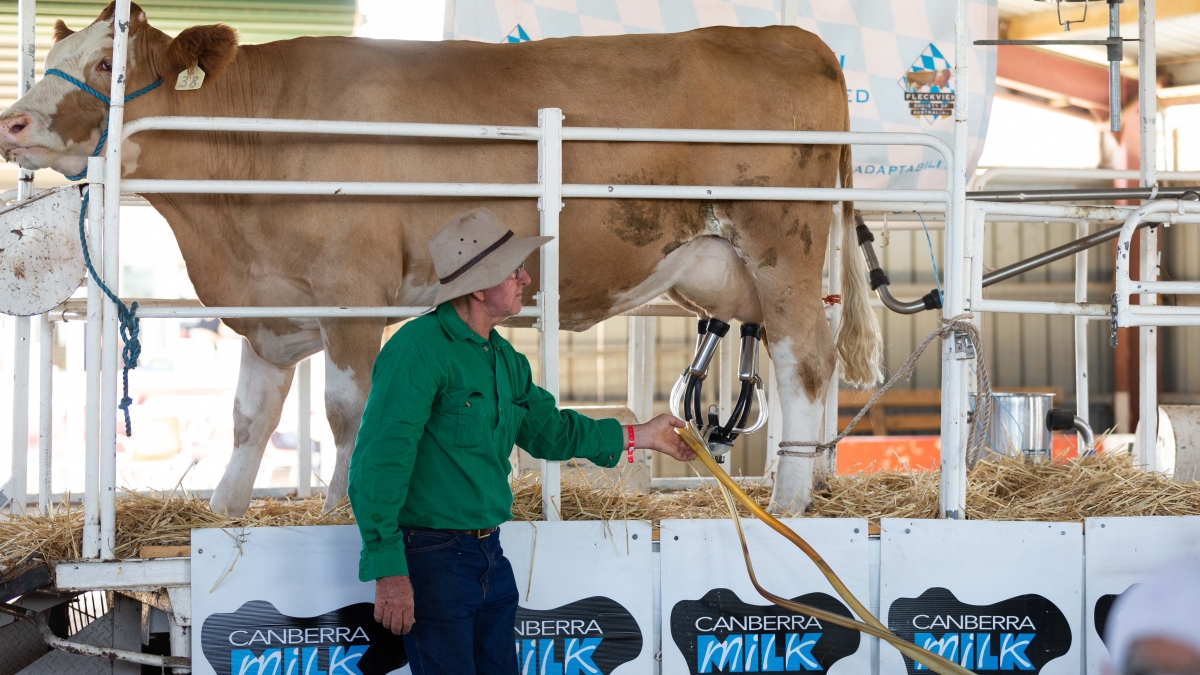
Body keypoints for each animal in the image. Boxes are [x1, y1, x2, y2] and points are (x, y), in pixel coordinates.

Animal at [0, 2, 883, 514]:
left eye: (109, 64)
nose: (14, 122)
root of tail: (792, 37)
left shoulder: (352, 296)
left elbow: (345, 414)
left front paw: (339, 510)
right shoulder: (272, 307)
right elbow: (250, 419)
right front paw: (223, 512)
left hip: (782, 243)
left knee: (807, 360)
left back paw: (792, 502)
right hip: (731, 267)